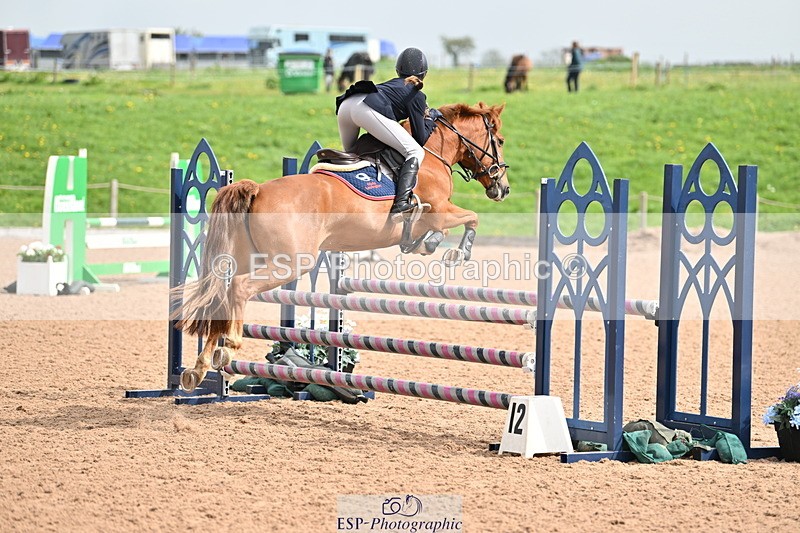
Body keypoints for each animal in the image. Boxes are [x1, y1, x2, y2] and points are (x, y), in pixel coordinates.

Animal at [174, 102, 511, 392]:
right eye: (501, 140)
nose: (503, 188)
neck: (431, 154)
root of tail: (257, 190)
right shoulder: (439, 212)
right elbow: (472, 217)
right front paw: (457, 252)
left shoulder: (435, 217)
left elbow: (447, 229)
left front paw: (430, 244)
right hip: (291, 263)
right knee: (240, 288)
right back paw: (228, 348)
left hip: (249, 258)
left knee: (221, 296)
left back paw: (199, 368)